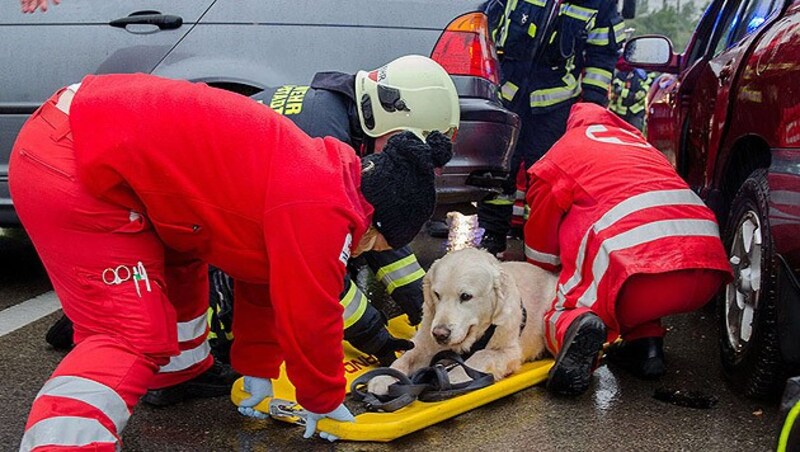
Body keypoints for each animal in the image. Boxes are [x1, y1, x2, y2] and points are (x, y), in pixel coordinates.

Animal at [368, 247, 556, 396]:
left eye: (465, 296)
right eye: (437, 294)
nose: (440, 334)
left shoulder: (508, 350)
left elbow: (480, 356)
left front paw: (453, 376)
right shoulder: (425, 342)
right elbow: (407, 357)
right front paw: (385, 377)